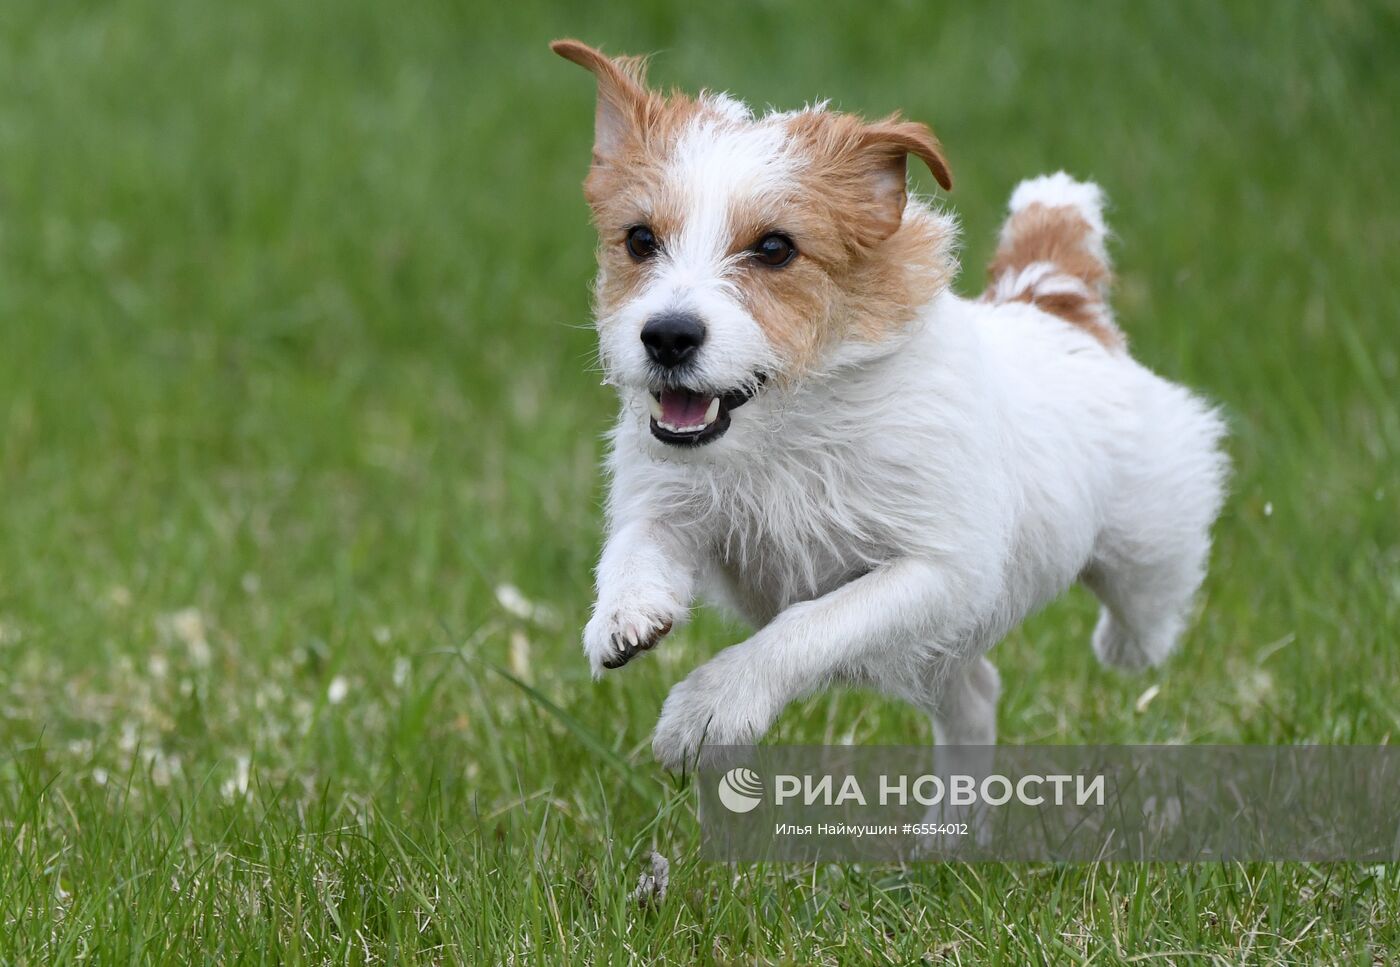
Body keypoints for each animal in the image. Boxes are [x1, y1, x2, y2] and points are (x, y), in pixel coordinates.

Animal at [546, 39, 1226, 772]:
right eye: (640, 240)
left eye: (775, 247)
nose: (667, 335)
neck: (790, 427)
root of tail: (1060, 310)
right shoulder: (668, 497)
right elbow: (635, 545)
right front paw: (623, 615)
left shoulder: (936, 571)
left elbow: (809, 623)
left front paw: (710, 706)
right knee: (977, 693)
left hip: (1146, 543)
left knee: (1148, 611)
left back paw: (1122, 647)